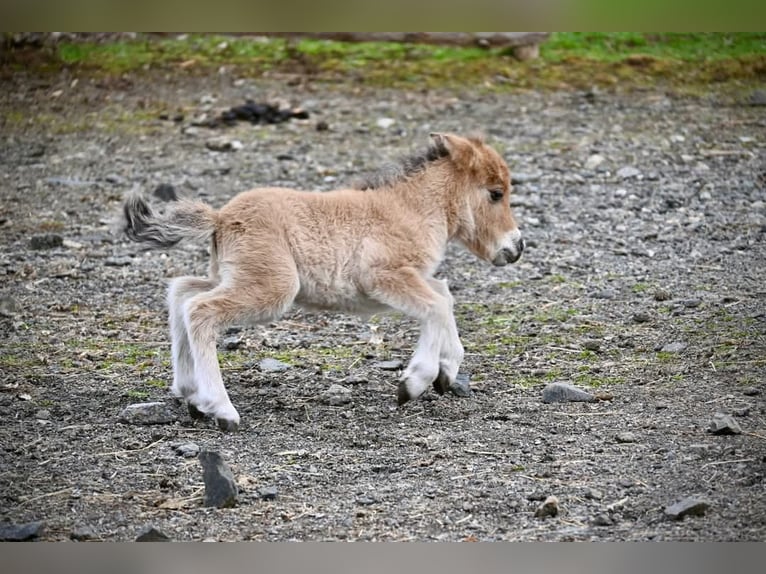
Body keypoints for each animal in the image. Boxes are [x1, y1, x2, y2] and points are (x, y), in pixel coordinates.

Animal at [123, 134, 524, 432]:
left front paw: (446, 371)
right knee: (200, 310)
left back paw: (190, 394)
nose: (516, 247)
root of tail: (221, 217)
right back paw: (221, 409)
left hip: (233, 275)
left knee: (181, 293)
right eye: (495, 193)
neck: (411, 207)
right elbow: (438, 304)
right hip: (271, 286)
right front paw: (413, 383)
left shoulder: (412, 278)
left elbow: (443, 297)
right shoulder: (383, 276)